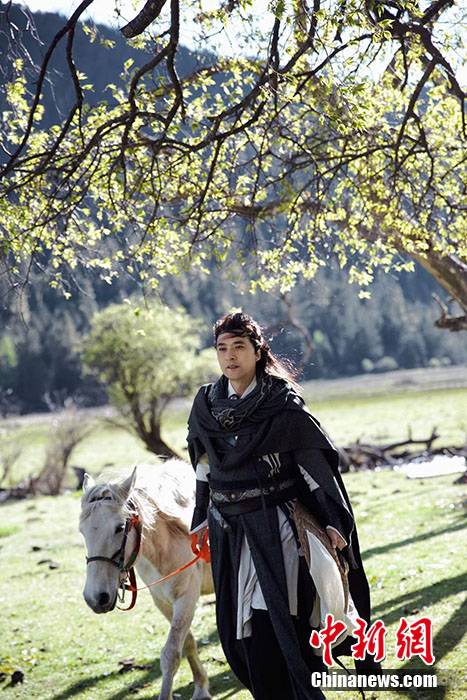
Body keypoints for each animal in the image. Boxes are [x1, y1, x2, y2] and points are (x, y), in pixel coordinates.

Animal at [79, 459, 214, 700]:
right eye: (82, 531)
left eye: (119, 528)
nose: (96, 598)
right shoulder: (162, 601)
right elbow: (187, 642)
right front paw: (201, 685)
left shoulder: (186, 598)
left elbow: (171, 654)